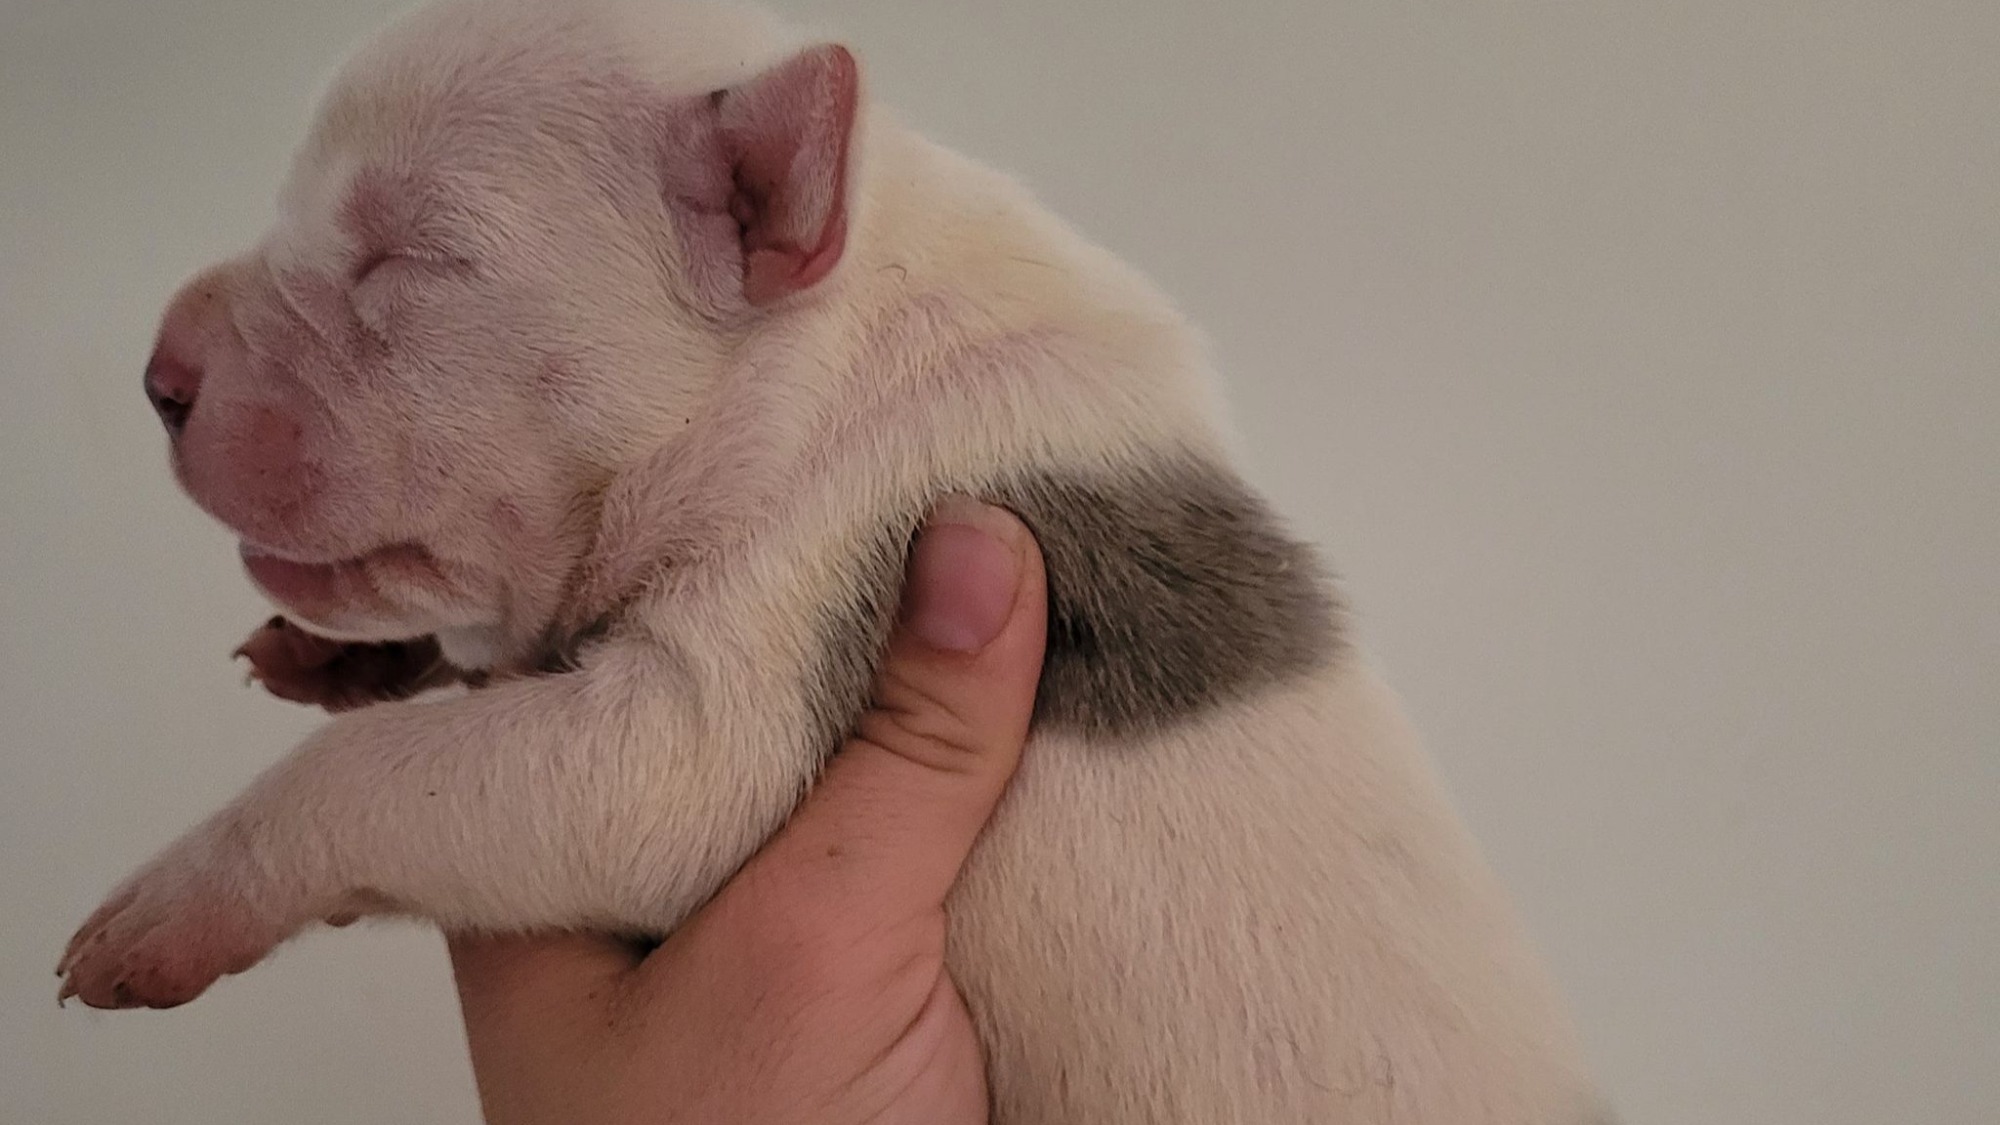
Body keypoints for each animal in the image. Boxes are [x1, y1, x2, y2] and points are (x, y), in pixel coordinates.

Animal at [62, 4, 1608, 1112]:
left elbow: (441, 777)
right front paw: (324, 655)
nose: (155, 373)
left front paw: (147, 922)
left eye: (406, 259)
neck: (833, 325)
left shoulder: (782, 629)